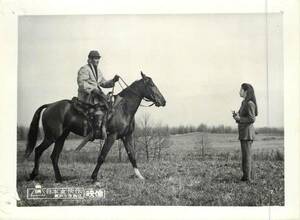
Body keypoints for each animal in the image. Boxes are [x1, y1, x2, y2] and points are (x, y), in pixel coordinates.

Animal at [24, 72, 166, 182]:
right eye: (151, 84)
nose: (163, 101)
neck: (123, 108)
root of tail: (50, 105)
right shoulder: (112, 136)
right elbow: (102, 156)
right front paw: (94, 177)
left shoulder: (127, 136)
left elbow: (132, 156)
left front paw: (140, 176)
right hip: (51, 136)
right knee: (38, 150)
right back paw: (33, 175)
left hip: (61, 137)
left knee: (54, 156)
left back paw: (59, 179)